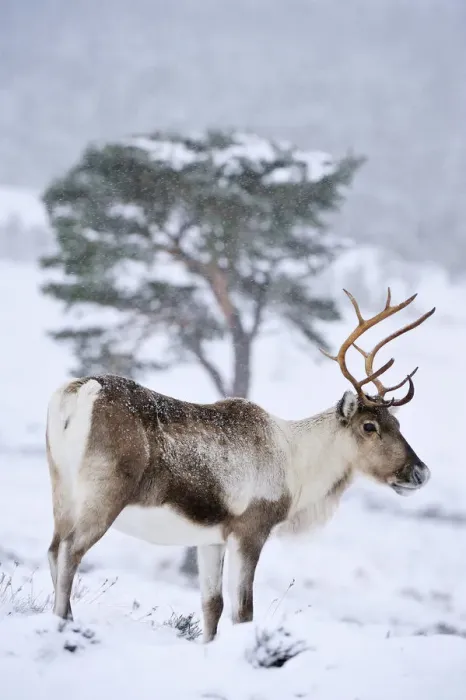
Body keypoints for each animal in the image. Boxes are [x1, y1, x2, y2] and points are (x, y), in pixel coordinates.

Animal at [45, 288, 435, 642]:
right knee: (71, 552)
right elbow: (243, 611)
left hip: (61, 489)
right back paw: (66, 626)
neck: (298, 465)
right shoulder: (250, 530)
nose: (420, 472)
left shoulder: (209, 538)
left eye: (397, 423)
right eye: (369, 426)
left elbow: (212, 606)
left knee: (53, 549)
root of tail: (79, 393)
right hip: (103, 494)